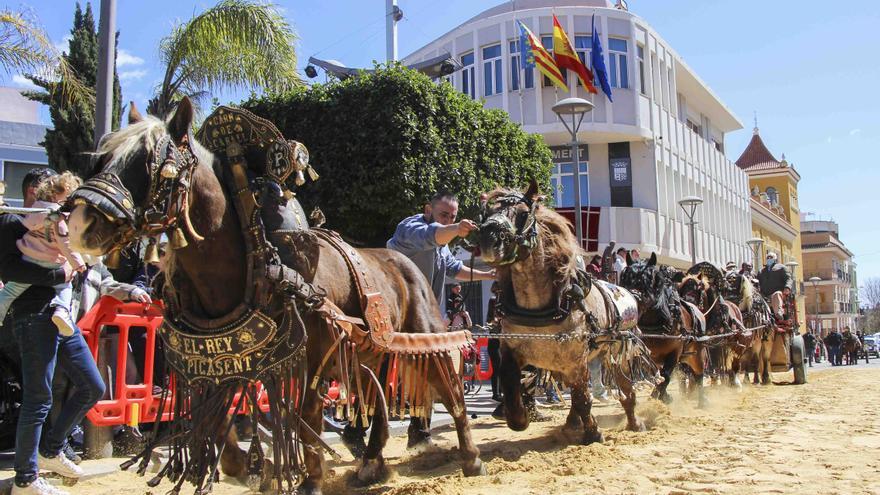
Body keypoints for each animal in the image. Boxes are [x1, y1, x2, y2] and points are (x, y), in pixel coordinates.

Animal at [65, 99, 484, 494]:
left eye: (153, 165)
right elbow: (216, 420)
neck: (254, 259)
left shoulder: (312, 355)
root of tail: (407, 263)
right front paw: (251, 468)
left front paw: (310, 478)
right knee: (378, 396)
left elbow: (306, 414)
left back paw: (470, 456)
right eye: (101, 157)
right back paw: (371, 462)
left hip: (424, 332)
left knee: (449, 387)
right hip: (372, 350)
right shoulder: (219, 361)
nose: (80, 222)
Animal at [474, 181, 652, 442]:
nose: (489, 239)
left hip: (619, 352)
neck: (537, 308)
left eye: (523, 213)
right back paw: (571, 422)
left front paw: (593, 433)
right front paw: (520, 418)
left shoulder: (575, 359)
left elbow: (583, 397)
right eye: (487, 213)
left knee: (625, 389)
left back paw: (634, 422)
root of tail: (629, 295)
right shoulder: (511, 351)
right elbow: (510, 384)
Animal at [620, 256, 708, 406]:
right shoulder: (646, 354)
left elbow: (665, 375)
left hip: (696, 354)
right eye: (625, 279)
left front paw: (661, 396)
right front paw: (662, 395)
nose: (632, 300)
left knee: (698, 375)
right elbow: (657, 376)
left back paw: (702, 401)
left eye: (648, 280)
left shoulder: (675, 352)